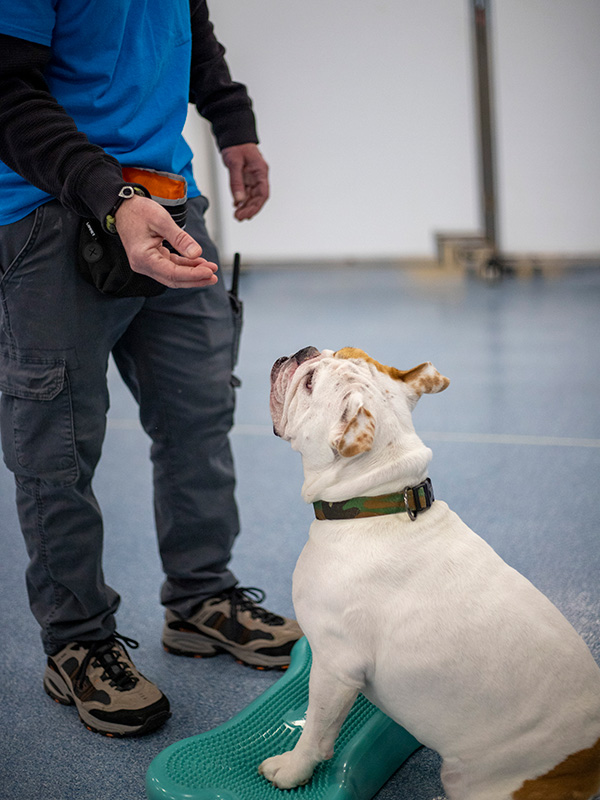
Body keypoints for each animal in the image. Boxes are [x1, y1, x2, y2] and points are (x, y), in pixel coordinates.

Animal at [260, 348, 600, 800]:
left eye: (311, 382)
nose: (301, 352)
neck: (379, 500)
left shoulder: (334, 665)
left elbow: (316, 730)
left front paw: (292, 769)